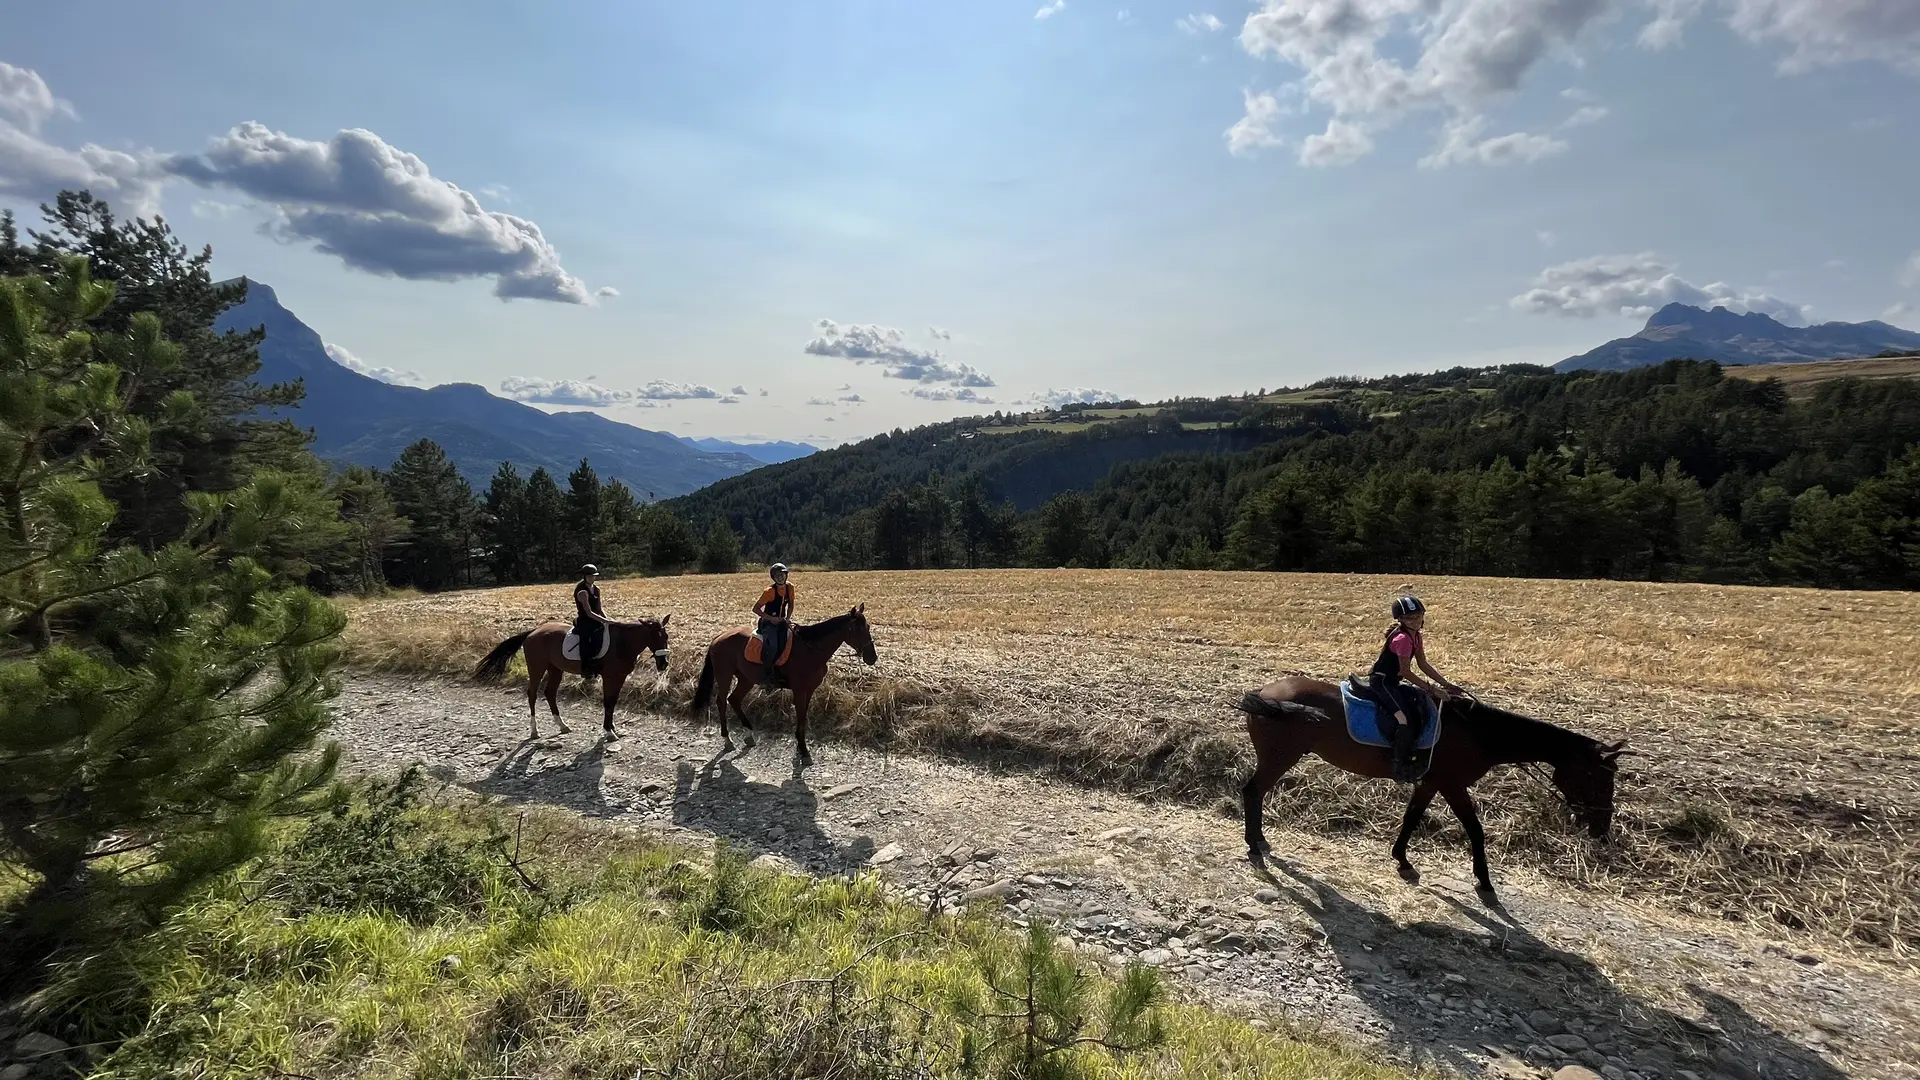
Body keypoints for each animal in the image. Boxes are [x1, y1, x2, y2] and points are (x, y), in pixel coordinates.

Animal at [474, 614, 675, 737]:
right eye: (653, 637)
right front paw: (608, 732)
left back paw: (562, 726)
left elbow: (613, 702)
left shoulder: (619, 677)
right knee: (532, 694)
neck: (622, 643)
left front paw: (613, 728)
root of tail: (532, 632)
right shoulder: (610, 677)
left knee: (549, 693)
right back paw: (534, 731)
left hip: (555, 669)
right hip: (537, 668)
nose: (663, 664)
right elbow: (607, 702)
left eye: (666, 636)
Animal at [695, 599, 879, 760]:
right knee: (722, 702)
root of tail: (719, 636)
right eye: (857, 629)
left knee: (734, 699)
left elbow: (803, 716)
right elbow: (800, 716)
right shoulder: (799, 690)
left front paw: (800, 746)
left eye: (868, 627)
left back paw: (749, 735)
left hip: (746, 679)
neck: (810, 650)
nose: (872, 658)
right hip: (724, 675)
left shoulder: (809, 690)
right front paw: (803, 750)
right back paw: (727, 739)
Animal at [1236, 672, 1628, 891]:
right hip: (1279, 757)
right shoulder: (1452, 784)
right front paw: (1484, 881)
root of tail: (1265, 693)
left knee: (1255, 793)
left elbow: (1411, 817)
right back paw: (1254, 844)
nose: (1602, 828)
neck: (1477, 733)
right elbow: (1474, 830)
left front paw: (1402, 859)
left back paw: (1260, 839)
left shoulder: (1429, 782)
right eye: (1595, 776)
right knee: (1252, 791)